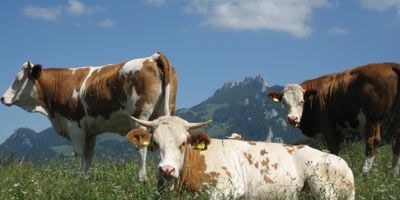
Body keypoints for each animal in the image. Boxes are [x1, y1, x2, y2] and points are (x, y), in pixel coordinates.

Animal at [0, 52, 178, 181]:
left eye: (18, 80)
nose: (2, 98)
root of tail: (153, 57)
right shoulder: (91, 131)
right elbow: (88, 155)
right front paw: (86, 178)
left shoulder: (74, 125)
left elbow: (78, 153)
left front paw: (77, 178)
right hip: (164, 115)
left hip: (140, 118)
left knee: (141, 148)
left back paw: (141, 179)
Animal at [268, 63, 400, 175]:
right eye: (284, 102)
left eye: (301, 101)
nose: (292, 118)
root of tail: (389, 65)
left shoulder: (327, 125)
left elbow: (333, 149)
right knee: (396, 142)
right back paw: (393, 175)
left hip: (373, 117)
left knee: (372, 141)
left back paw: (365, 173)